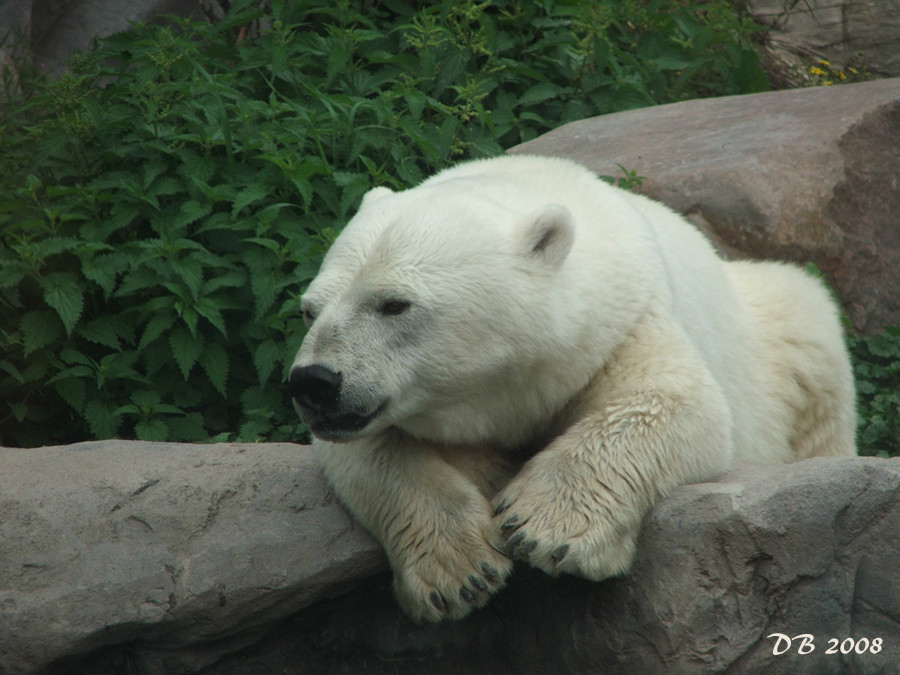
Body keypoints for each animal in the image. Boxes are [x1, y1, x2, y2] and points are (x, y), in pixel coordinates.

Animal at [288, 153, 856, 624]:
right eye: (310, 309)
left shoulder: (622, 322)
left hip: (779, 335)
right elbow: (371, 455)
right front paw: (458, 572)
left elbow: (674, 403)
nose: (314, 382)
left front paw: (542, 528)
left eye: (393, 304)